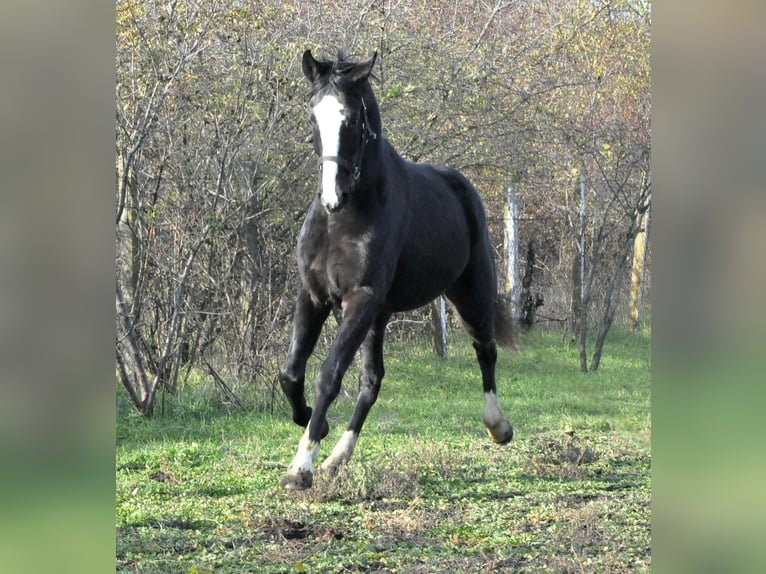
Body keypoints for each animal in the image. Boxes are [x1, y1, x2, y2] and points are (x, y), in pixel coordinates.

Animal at [280, 50, 512, 490]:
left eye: (352, 119)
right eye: (313, 116)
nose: (332, 196)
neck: (343, 220)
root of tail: (462, 187)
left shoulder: (360, 299)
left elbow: (328, 375)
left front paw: (300, 467)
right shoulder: (315, 296)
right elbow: (291, 373)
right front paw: (310, 423)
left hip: (469, 293)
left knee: (486, 349)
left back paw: (498, 426)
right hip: (380, 317)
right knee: (371, 382)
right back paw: (337, 459)